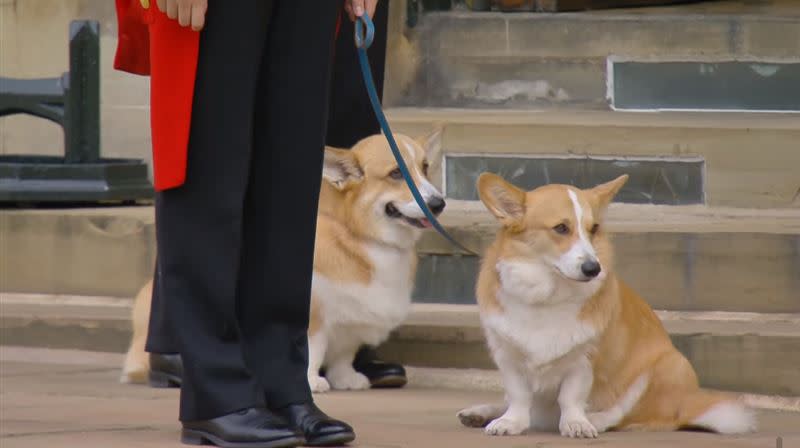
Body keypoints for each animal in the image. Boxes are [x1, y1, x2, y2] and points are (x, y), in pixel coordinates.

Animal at [120, 129, 444, 392]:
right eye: (396, 173)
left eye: (425, 168)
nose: (439, 203)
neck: (356, 234)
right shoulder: (313, 315)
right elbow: (313, 348)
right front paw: (311, 381)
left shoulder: (352, 321)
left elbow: (343, 355)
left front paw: (346, 379)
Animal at [456, 174, 756, 438]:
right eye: (561, 228)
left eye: (594, 229)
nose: (593, 268)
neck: (548, 294)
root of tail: (689, 404)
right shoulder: (508, 356)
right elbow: (519, 396)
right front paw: (510, 422)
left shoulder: (584, 359)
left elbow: (571, 397)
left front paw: (577, 424)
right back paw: (482, 412)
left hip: (668, 364)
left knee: (630, 415)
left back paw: (596, 420)